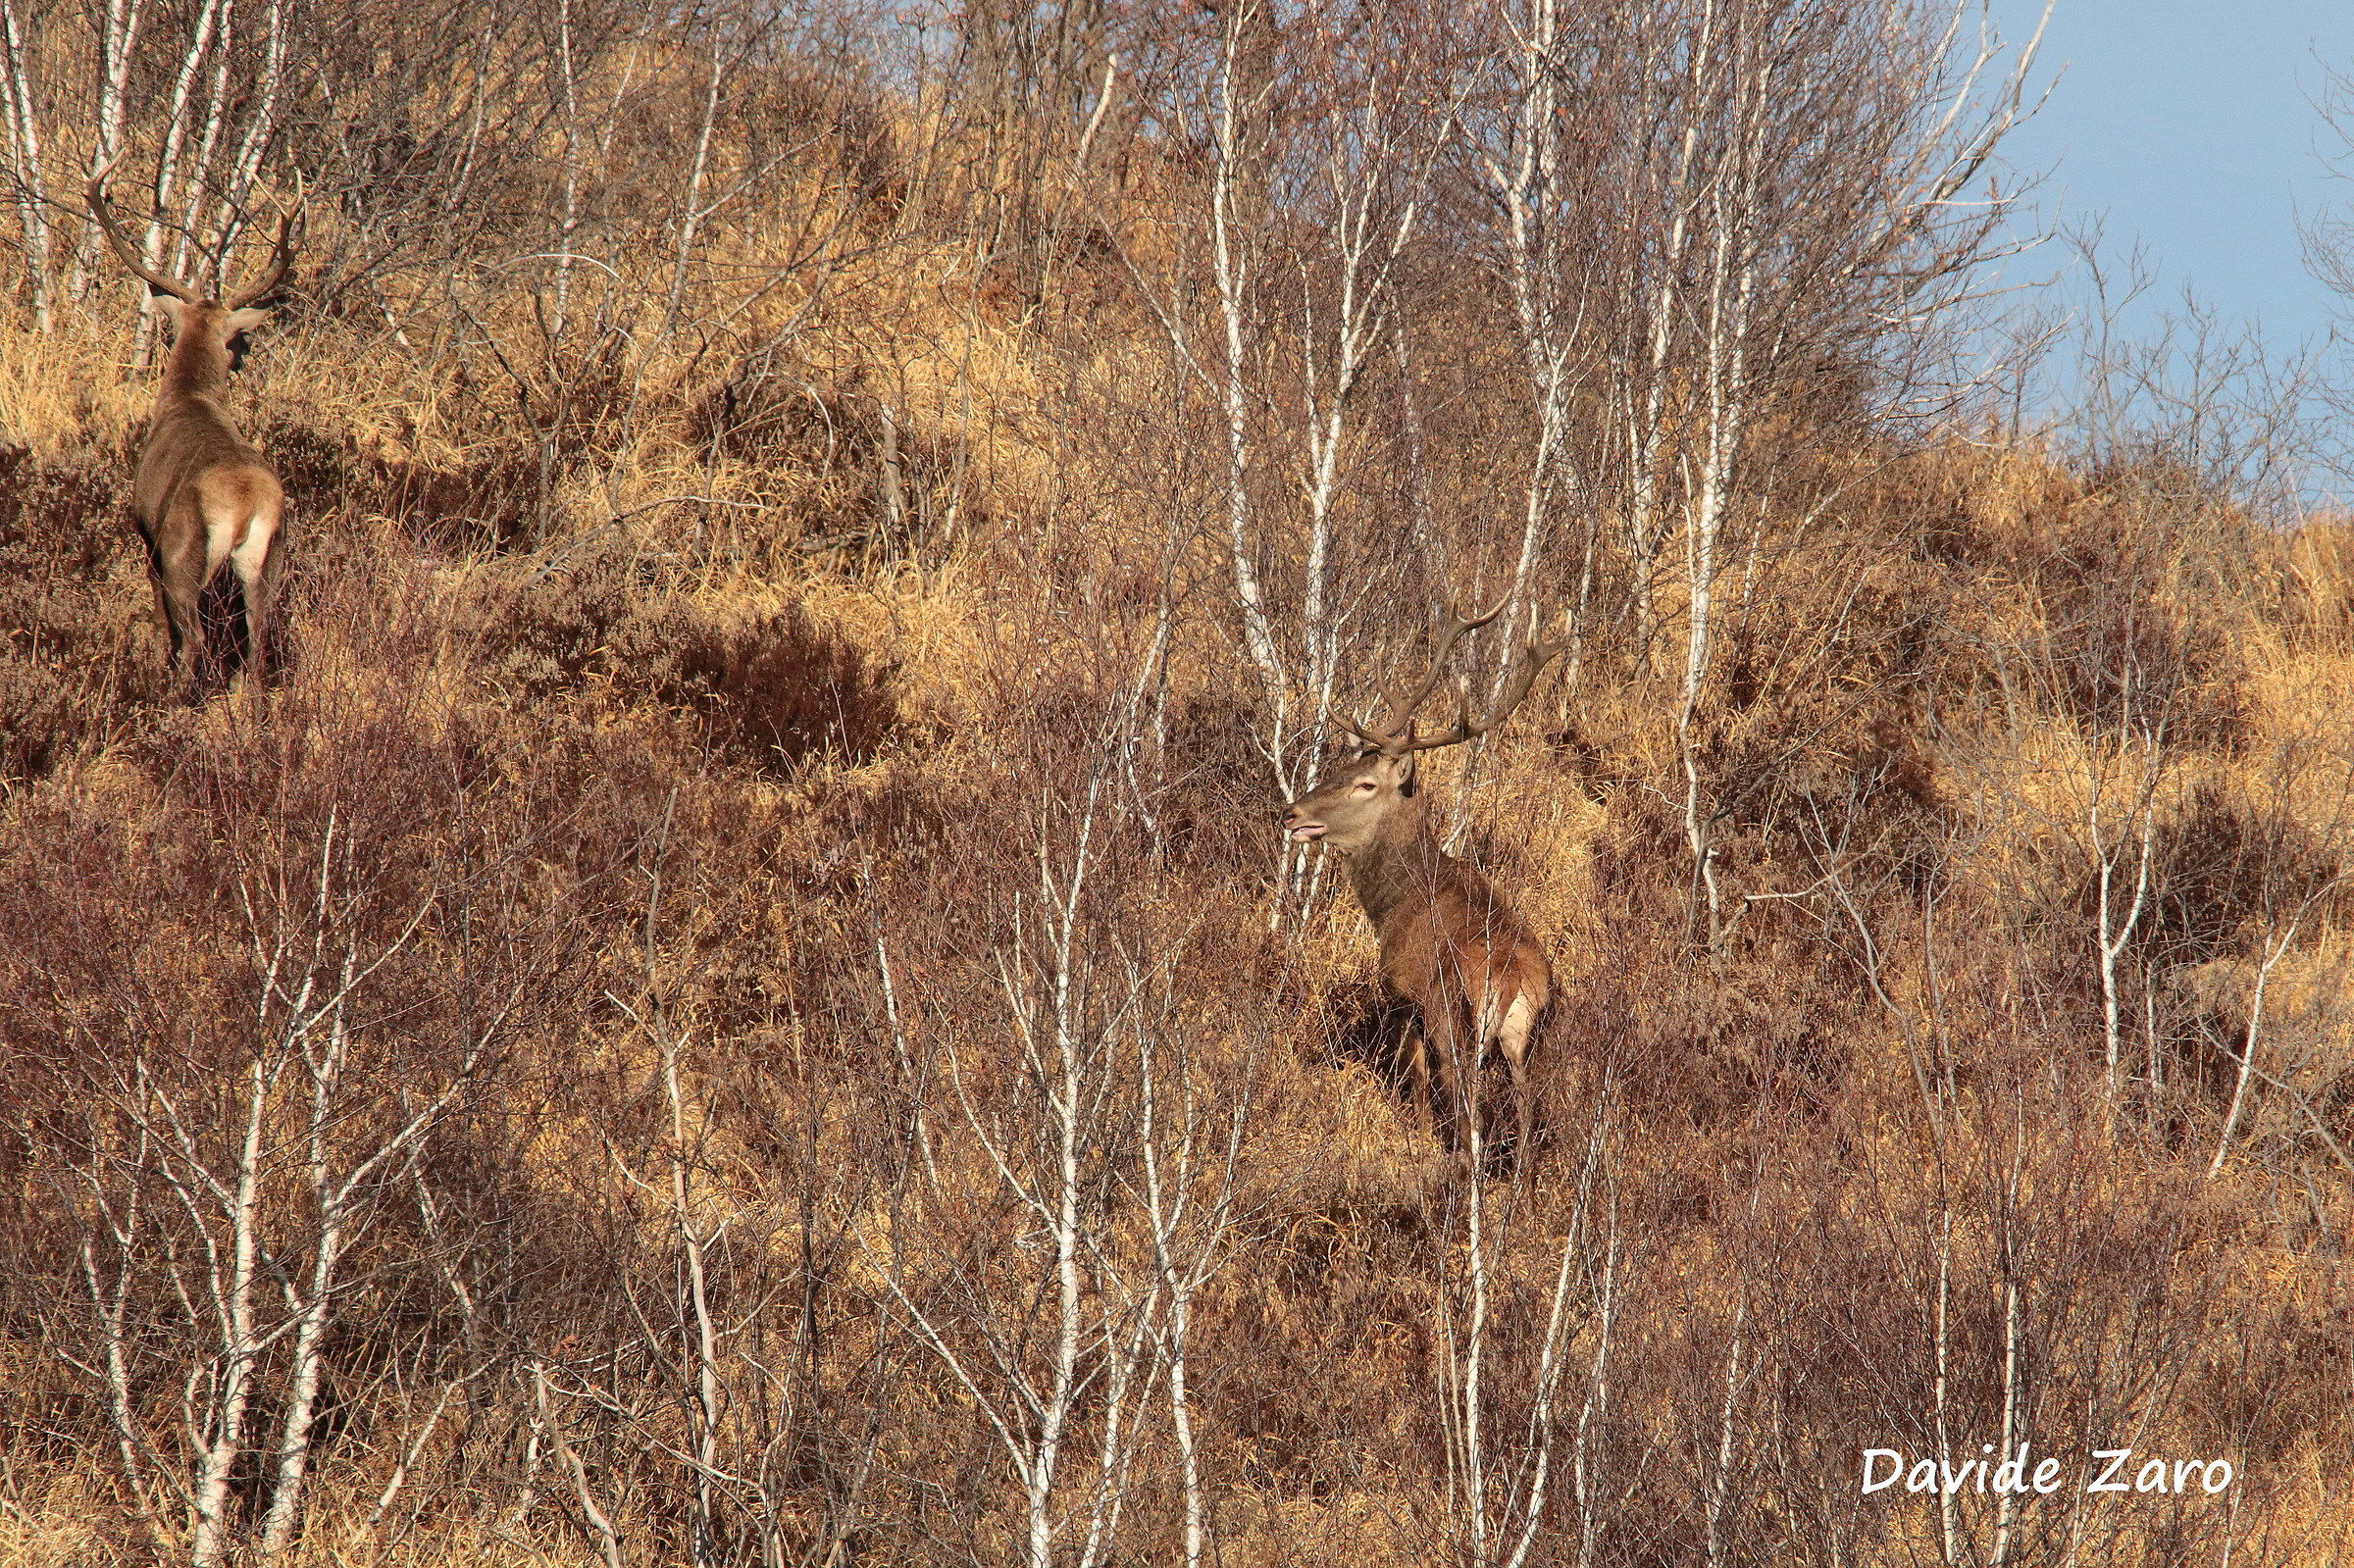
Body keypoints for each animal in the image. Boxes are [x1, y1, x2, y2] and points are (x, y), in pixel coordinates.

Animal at [87, 158, 298, 698]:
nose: (243, 351)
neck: (189, 401)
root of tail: (246, 503)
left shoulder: (146, 530)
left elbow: (161, 618)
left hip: (184, 549)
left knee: (195, 636)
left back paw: (168, 701)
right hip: (271, 557)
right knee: (259, 643)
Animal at [1282, 603, 1564, 1168]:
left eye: (1366, 784)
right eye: (1341, 767)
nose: (1293, 812)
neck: (1393, 902)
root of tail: (1511, 977)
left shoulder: (1404, 994)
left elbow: (1414, 1077)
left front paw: (1416, 1139)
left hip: (1454, 1020)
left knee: (1465, 1104)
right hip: (1529, 1036)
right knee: (1527, 1110)